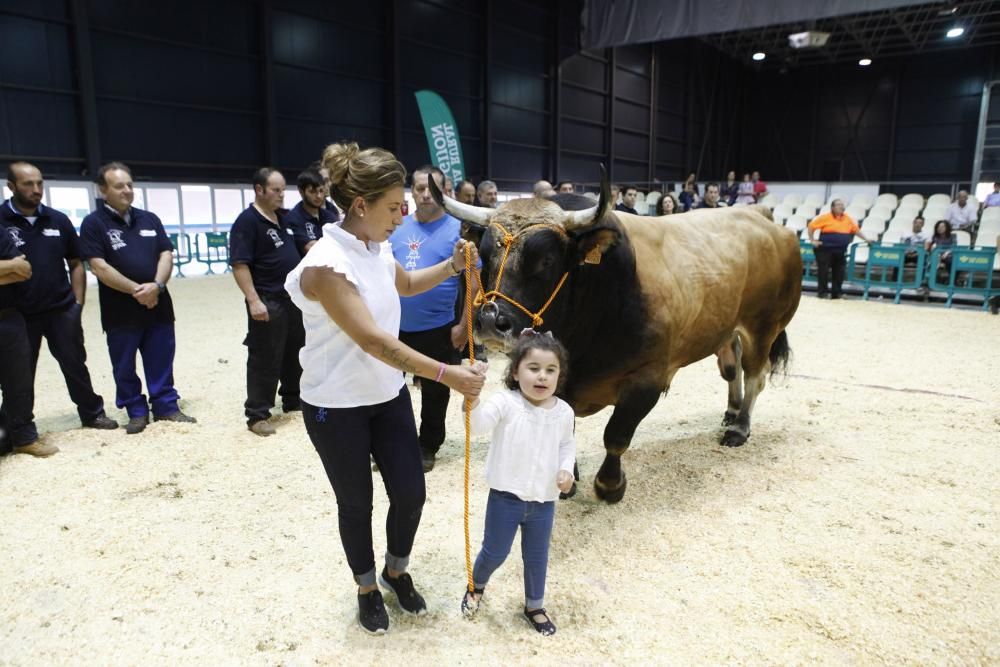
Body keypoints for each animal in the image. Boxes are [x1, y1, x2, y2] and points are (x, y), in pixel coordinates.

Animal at [432, 172, 804, 500]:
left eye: (547, 260)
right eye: (485, 255)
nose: (490, 320)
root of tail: (764, 218)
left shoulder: (647, 379)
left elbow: (616, 436)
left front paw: (610, 485)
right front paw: (568, 480)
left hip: (764, 325)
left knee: (756, 374)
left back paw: (740, 427)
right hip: (728, 329)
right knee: (732, 367)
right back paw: (731, 409)